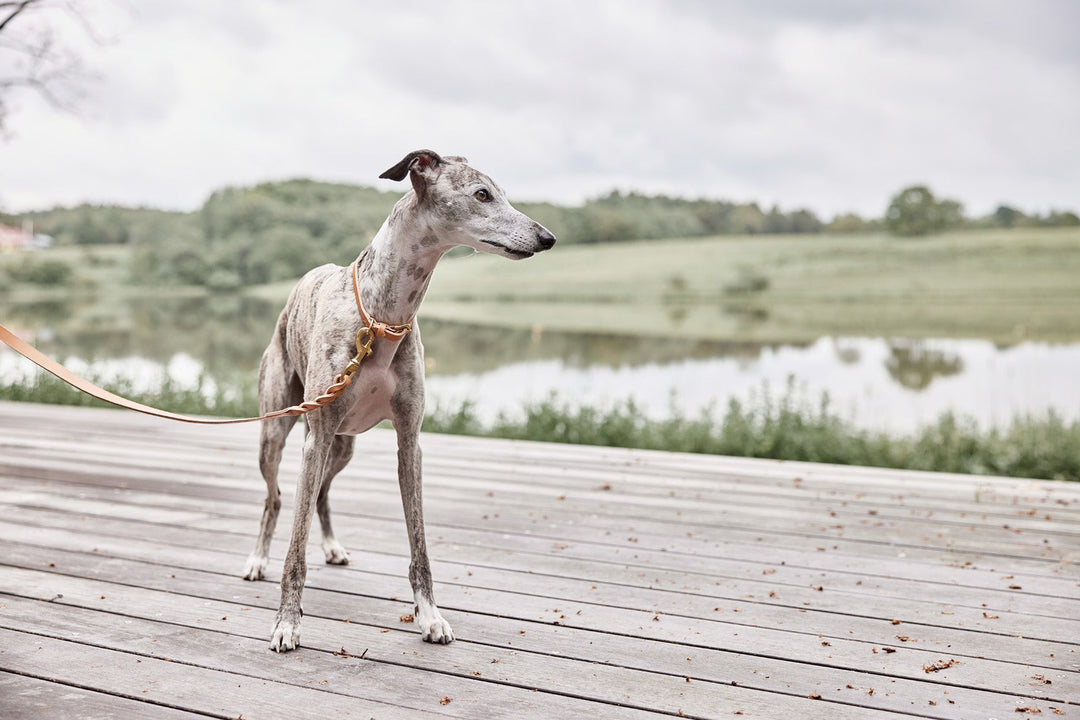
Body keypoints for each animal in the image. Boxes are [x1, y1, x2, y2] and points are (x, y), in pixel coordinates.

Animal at [244, 148, 557, 651]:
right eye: (482, 194)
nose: (547, 238)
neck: (381, 318)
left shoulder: (409, 440)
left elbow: (419, 544)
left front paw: (430, 617)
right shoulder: (316, 437)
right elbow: (295, 550)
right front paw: (287, 623)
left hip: (342, 445)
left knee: (322, 494)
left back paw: (331, 545)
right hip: (280, 433)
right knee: (275, 499)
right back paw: (257, 559)